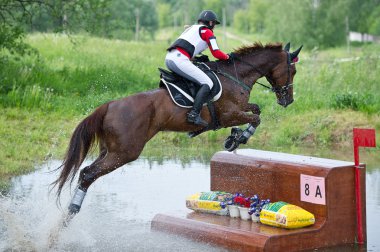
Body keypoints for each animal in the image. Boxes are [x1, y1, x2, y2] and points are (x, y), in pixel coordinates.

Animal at [52, 41, 302, 217]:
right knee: (88, 174)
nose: (288, 100)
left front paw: (234, 138)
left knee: (86, 172)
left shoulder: (240, 109)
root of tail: (109, 105)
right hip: (125, 152)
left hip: (110, 149)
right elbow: (256, 118)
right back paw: (72, 211)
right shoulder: (229, 115)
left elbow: (257, 111)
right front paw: (238, 138)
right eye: (293, 71)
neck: (236, 75)